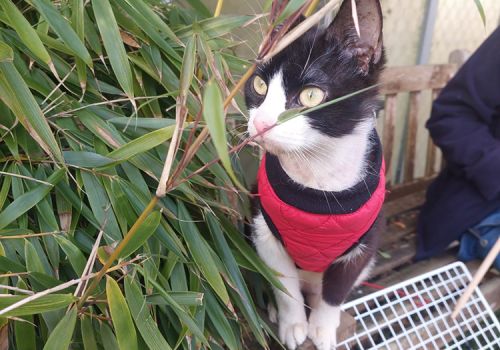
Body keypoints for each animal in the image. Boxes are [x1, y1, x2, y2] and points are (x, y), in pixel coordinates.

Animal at [244, 1, 384, 348]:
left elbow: (336, 290)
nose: (261, 123)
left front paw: (322, 328)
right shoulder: (263, 228)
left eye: (310, 96)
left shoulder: (365, 243)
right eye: (259, 85)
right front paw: (294, 324)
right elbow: (284, 285)